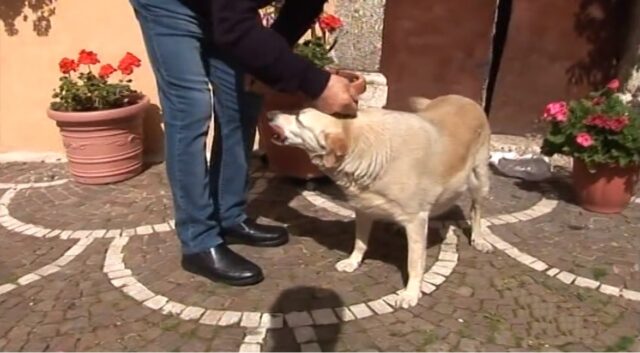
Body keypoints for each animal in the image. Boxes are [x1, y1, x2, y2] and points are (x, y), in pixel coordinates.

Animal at [264, 95, 496, 306]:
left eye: (299, 118)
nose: (270, 114)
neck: (362, 146)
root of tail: (464, 98)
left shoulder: (416, 219)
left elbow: (414, 262)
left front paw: (411, 293)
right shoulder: (363, 209)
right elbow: (359, 242)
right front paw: (353, 262)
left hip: (479, 180)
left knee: (476, 210)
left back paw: (479, 239)